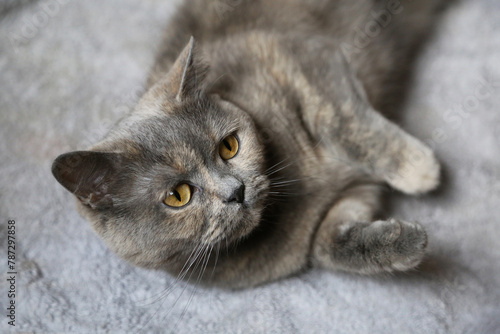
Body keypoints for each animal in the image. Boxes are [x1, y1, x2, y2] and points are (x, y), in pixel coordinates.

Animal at [53, 0, 446, 288]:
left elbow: (342, 119)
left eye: (229, 146)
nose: (235, 190)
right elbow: (326, 244)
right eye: (178, 196)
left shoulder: (303, 57)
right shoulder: (349, 198)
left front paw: (420, 169)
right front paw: (403, 242)